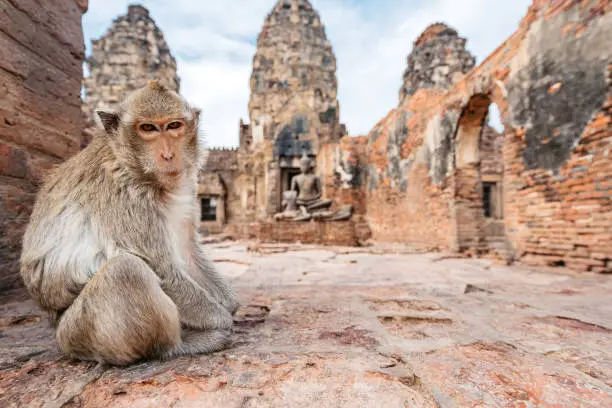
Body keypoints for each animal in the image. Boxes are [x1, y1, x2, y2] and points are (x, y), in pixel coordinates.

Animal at [19, 80, 239, 366]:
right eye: (147, 128)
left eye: (174, 125)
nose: (168, 155)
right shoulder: (124, 194)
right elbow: (163, 270)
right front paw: (223, 320)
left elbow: (188, 252)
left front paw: (231, 304)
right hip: (76, 335)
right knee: (125, 270)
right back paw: (178, 346)